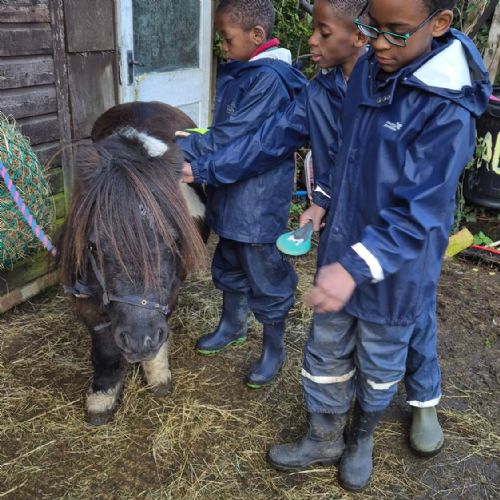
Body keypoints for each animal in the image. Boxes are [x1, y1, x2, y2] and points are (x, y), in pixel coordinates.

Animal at [58, 101, 208, 425]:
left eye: (174, 240)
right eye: (93, 246)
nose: (140, 340)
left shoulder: (170, 289)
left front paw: (157, 373)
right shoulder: (87, 299)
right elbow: (105, 349)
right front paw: (102, 396)